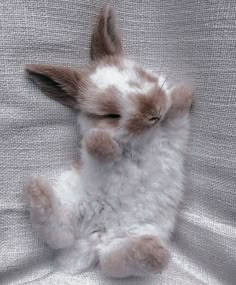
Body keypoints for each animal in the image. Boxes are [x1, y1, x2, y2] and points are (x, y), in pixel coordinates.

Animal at [24, 3, 193, 278]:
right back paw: (36, 191)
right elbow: (93, 145)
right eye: (111, 115)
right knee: (62, 234)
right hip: (73, 199)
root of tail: (96, 238)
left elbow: (177, 113)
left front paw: (183, 91)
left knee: (110, 261)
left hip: (144, 228)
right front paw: (102, 141)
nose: (154, 113)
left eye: (141, 76)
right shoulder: (94, 154)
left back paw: (153, 253)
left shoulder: (175, 134)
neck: (143, 140)